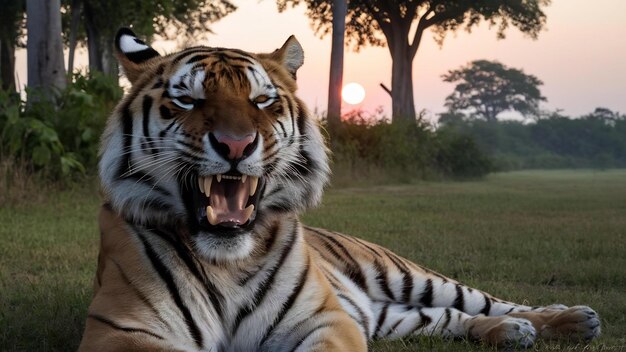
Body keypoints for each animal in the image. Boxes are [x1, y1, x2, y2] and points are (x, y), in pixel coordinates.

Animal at [79, 28, 600, 352]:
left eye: (262, 101)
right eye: (187, 100)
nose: (236, 144)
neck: (227, 260)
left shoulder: (326, 320)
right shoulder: (122, 330)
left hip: (405, 274)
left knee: (484, 300)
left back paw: (569, 318)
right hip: (391, 315)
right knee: (450, 318)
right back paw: (514, 332)